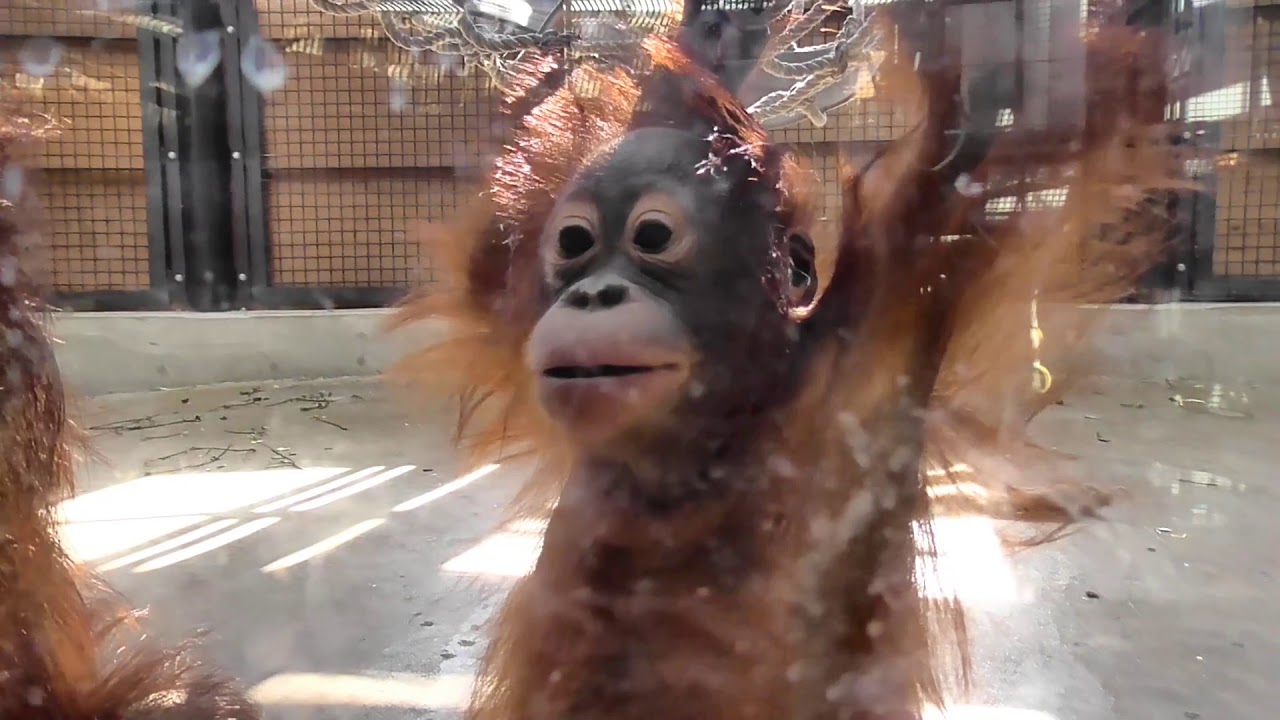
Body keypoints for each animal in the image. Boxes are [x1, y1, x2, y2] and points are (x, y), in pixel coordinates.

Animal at [389, 5, 1188, 718]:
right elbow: (492, 260)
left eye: (653, 237)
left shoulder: (878, 321)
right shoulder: (521, 303)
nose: (592, 294)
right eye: (575, 244)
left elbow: (1002, 129)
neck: (721, 432)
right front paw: (712, 44)